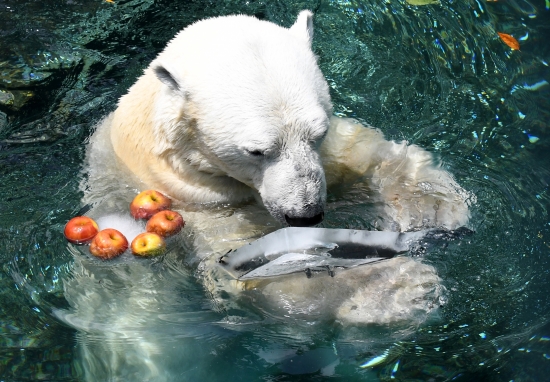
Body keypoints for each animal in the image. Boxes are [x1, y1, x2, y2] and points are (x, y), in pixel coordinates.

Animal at [59, 10, 474, 380]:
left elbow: (360, 150)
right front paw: (396, 288)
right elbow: (251, 266)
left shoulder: (324, 152)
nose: (306, 213)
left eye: (317, 132)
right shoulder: (197, 197)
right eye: (256, 150)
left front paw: (435, 206)